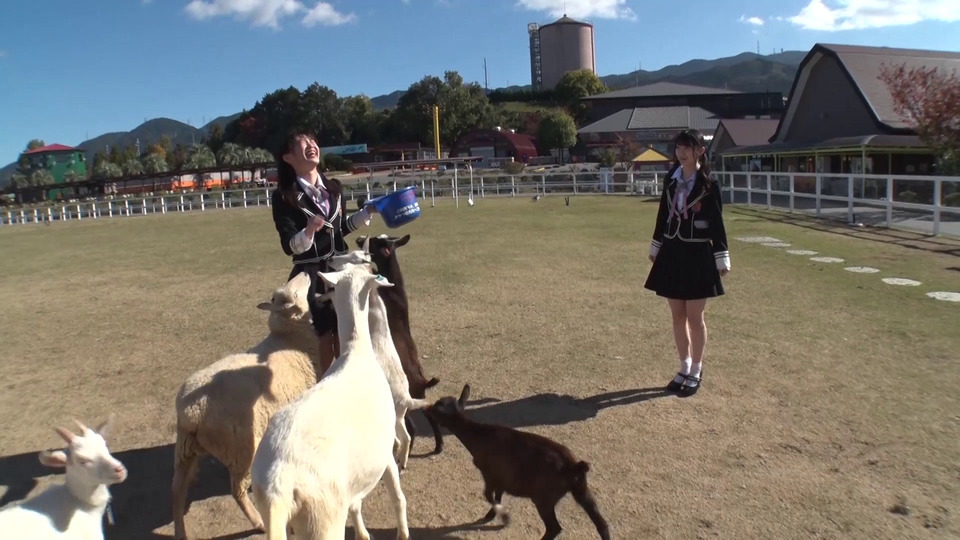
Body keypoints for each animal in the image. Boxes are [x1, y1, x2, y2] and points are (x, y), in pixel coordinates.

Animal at [171, 271, 320, 540]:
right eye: (294, 293)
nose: (305, 272)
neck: (290, 341)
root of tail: (192, 412)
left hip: (185, 448)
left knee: (177, 490)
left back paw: (180, 532)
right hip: (241, 449)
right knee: (236, 490)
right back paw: (259, 522)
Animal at [251, 262, 409, 540]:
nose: (317, 296)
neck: (355, 351)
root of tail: (277, 488)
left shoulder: (352, 485)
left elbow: (356, 507)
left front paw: (363, 534)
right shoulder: (385, 453)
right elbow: (398, 498)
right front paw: (403, 533)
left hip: (290, 522)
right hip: (323, 520)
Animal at [357, 234, 443, 455]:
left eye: (376, 242)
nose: (359, 237)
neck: (394, 292)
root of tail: (423, 380)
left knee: (410, 427)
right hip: (417, 396)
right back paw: (438, 446)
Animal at [424, 385, 611, 540]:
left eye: (437, 406)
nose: (427, 410)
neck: (478, 437)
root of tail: (574, 466)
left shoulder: (489, 473)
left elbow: (488, 495)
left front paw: (504, 518)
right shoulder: (501, 476)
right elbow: (498, 495)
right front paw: (492, 515)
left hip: (544, 496)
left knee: (554, 528)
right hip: (582, 490)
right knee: (601, 523)